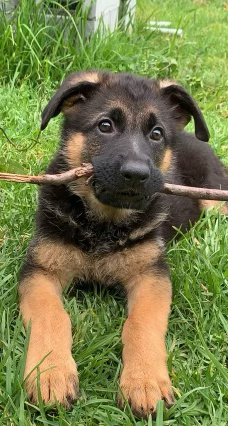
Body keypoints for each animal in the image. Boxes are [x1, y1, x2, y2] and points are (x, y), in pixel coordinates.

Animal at [19, 71, 228, 418]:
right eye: (105, 125)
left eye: (156, 134)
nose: (136, 174)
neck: (104, 225)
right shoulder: (40, 270)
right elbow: (53, 315)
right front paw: (50, 373)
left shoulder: (151, 275)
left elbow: (140, 322)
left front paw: (144, 381)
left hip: (215, 199)